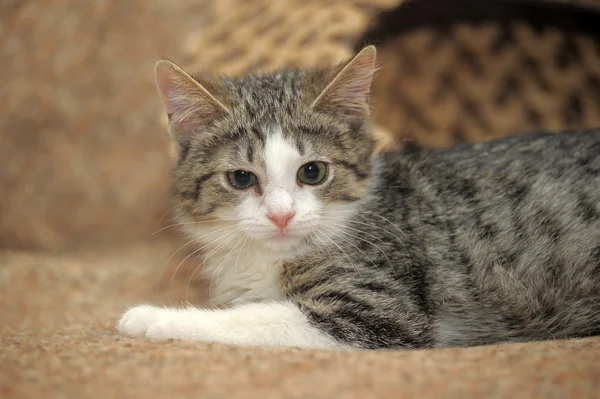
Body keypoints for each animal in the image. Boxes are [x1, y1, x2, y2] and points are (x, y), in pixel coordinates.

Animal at [117, 45, 600, 348]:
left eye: (312, 172)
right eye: (240, 178)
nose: (281, 215)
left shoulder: (377, 309)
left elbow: (261, 317)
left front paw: (152, 317)